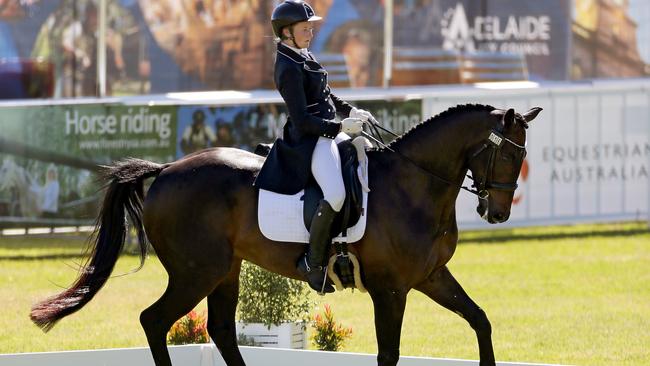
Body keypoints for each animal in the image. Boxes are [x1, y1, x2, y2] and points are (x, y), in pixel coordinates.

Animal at [27, 103, 540, 366]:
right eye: (508, 155)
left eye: (522, 158)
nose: (497, 213)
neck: (411, 185)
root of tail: (167, 169)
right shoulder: (390, 289)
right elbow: (389, 354)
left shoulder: (431, 276)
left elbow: (480, 321)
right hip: (195, 273)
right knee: (155, 321)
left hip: (224, 271)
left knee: (221, 331)